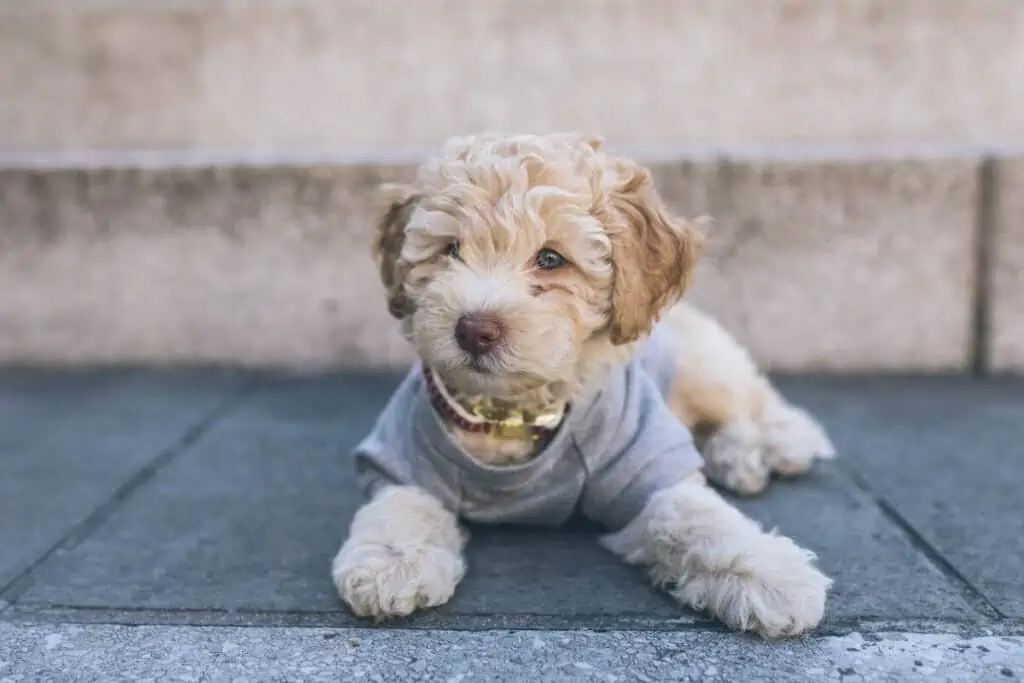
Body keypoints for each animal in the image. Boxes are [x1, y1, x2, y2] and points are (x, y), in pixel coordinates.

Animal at [331, 135, 835, 643]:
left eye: (551, 259)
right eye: (450, 249)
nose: (474, 330)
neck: (510, 414)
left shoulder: (645, 458)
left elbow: (699, 517)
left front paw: (767, 574)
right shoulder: (406, 453)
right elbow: (400, 507)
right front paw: (392, 563)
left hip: (702, 364)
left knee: (757, 405)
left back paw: (761, 451)